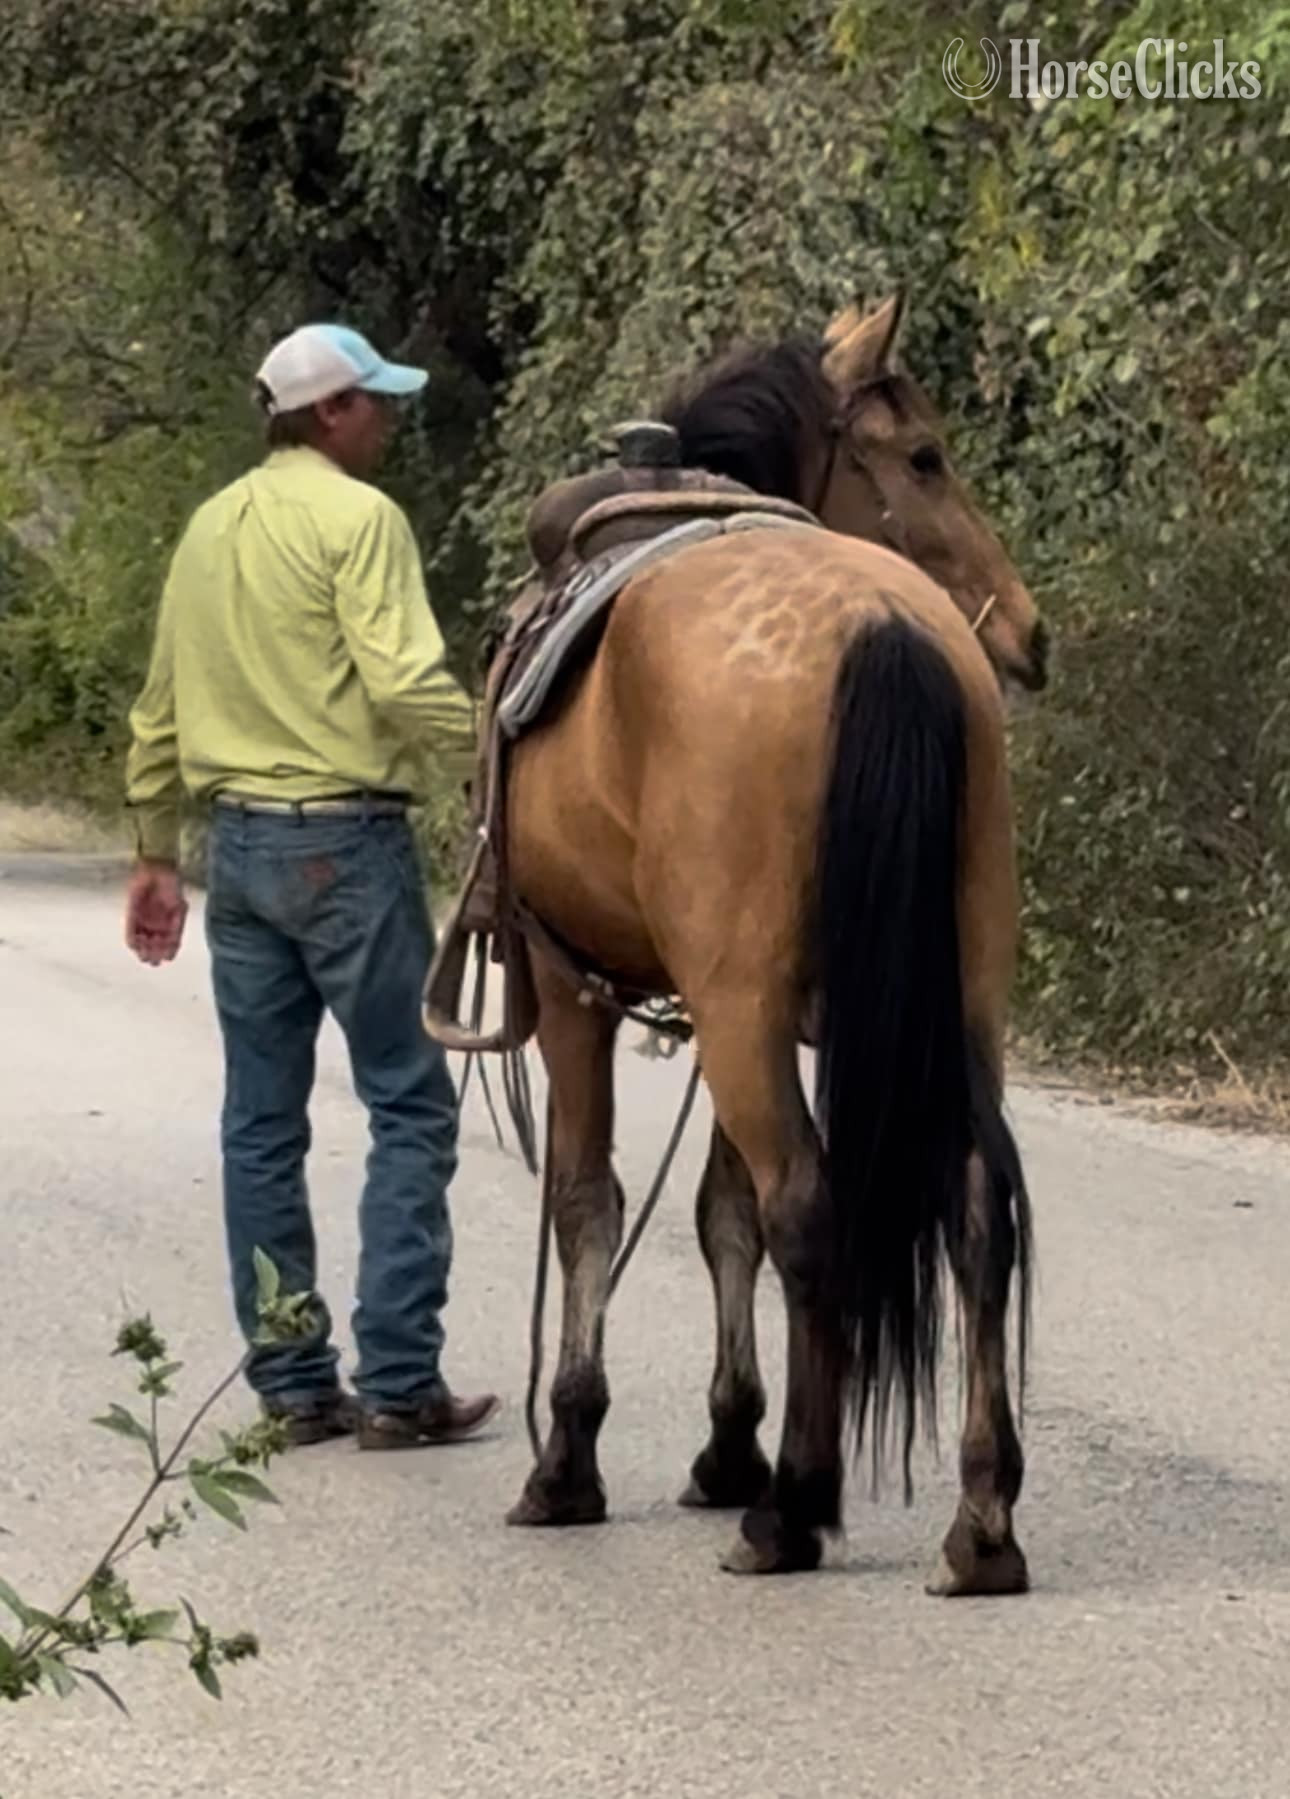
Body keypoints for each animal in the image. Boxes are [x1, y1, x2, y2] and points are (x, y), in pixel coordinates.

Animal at [499, 291, 1049, 1591]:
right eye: (924, 457)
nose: (1032, 632)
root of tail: (886, 624)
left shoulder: (574, 983)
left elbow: (592, 1199)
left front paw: (571, 1459)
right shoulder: (725, 1011)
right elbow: (719, 1213)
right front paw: (725, 1444)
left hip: (736, 1009)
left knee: (809, 1203)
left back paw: (794, 1505)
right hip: (952, 997)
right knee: (974, 1204)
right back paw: (981, 1519)